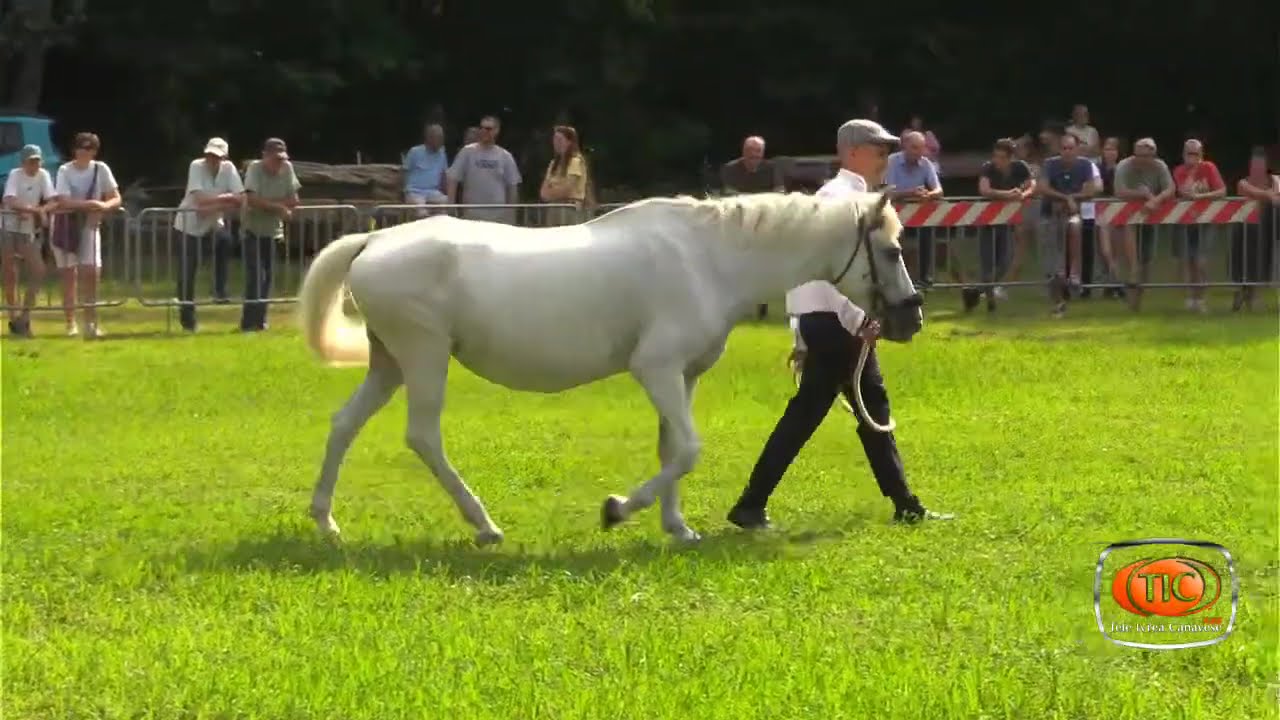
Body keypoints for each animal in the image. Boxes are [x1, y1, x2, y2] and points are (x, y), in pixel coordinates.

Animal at [297, 190, 922, 545]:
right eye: (892, 251)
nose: (911, 317)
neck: (709, 259)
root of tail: (374, 239)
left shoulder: (683, 376)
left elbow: (672, 451)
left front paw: (679, 529)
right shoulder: (656, 368)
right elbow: (688, 451)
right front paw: (617, 510)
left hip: (389, 363)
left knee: (343, 424)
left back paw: (326, 521)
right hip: (423, 356)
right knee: (423, 436)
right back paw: (484, 526)